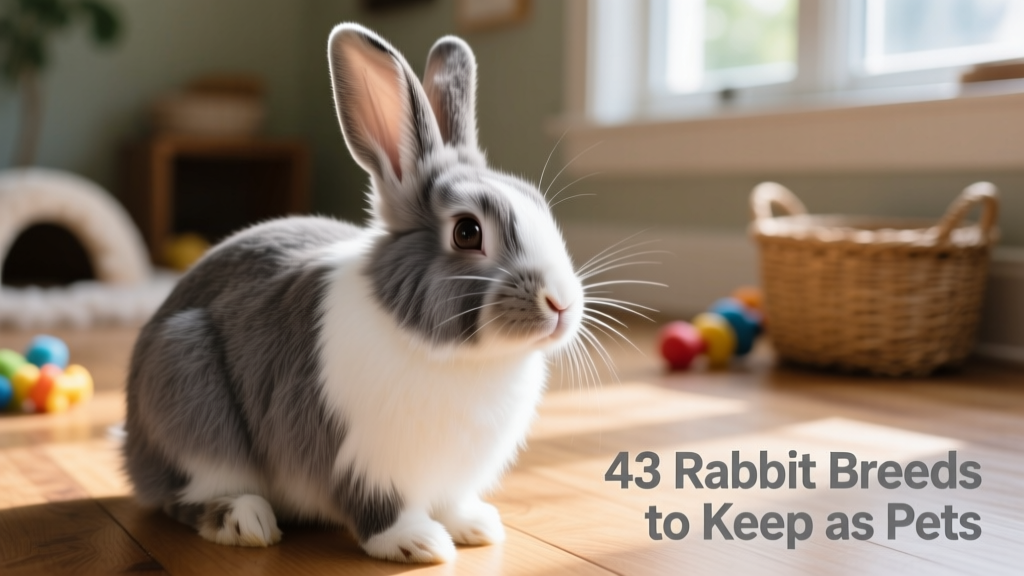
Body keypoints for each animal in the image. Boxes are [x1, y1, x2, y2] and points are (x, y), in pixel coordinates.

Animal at [123, 23, 585, 564]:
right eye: (468, 232)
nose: (562, 303)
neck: (455, 356)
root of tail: (133, 449)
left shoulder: (451, 474)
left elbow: (452, 502)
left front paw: (476, 526)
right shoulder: (360, 458)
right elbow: (379, 510)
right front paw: (420, 544)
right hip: (188, 391)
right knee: (188, 496)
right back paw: (245, 521)